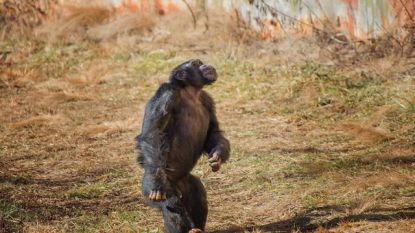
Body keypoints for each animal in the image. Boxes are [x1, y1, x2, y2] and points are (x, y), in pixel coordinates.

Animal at [138, 58, 232, 233]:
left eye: (200, 62)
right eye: (195, 64)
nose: (205, 64)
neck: (190, 93)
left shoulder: (208, 100)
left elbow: (213, 132)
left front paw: (218, 156)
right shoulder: (166, 94)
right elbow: (154, 133)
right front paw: (157, 184)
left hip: (187, 183)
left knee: (197, 193)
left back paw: (197, 228)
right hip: (150, 186)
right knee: (170, 204)